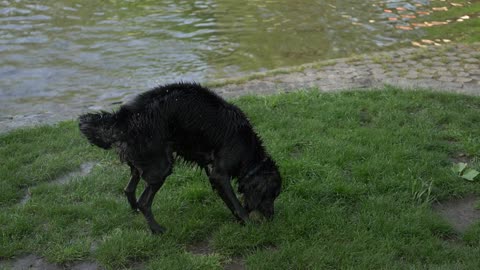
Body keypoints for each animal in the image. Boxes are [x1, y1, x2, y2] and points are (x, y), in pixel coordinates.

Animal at [78, 82, 282, 234]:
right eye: (271, 195)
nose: (273, 217)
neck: (248, 149)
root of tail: (124, 118)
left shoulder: (211, 172)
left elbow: (232, 202)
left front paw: (239, 219)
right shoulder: (220, 174)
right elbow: (236, 203)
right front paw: (249, 223)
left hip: (141, 163)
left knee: (128, 189)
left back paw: (135, 211)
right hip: (161, 167)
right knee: (145, 202)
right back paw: (157, 229)